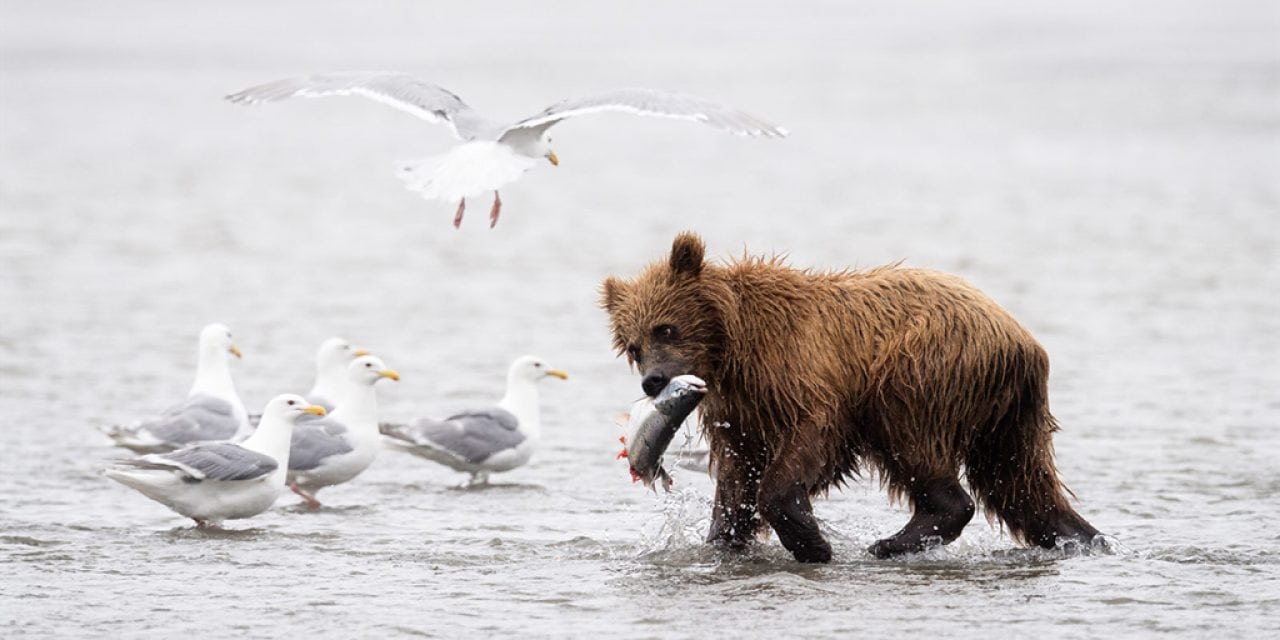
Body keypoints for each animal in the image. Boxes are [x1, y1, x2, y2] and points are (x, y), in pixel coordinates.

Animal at [599, 232, 1100, 563]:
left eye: (666, 328)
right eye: (633, 345)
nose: (654, 381)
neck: (735, 346)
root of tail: (1022, 341)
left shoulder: (803, 374)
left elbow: (810, 445)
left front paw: (812, 541)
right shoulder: (741, 409)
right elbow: (738, 473)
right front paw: (725, 537)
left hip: (920, 372)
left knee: (918, 448)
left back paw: (891, 542)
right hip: (1008, 415)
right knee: (1021, 484)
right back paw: (1083, 537)